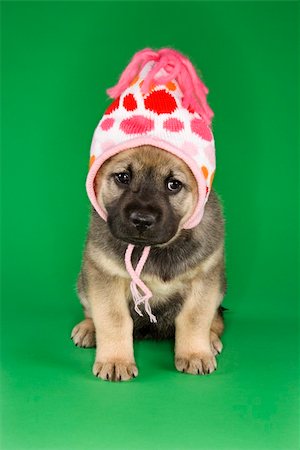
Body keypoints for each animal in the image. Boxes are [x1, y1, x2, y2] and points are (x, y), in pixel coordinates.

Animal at [71, 48, 225, 380]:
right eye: (123, 177)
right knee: (91, 309)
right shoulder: (103, 276)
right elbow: (112, 319)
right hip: (83, 281)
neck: (151, 250)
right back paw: (88, 329)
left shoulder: (205, 278)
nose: (142, 220)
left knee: (216, 318)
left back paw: (211, 338)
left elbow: (195, 318)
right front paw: (116, 360)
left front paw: (195, 352)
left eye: (173, 184)